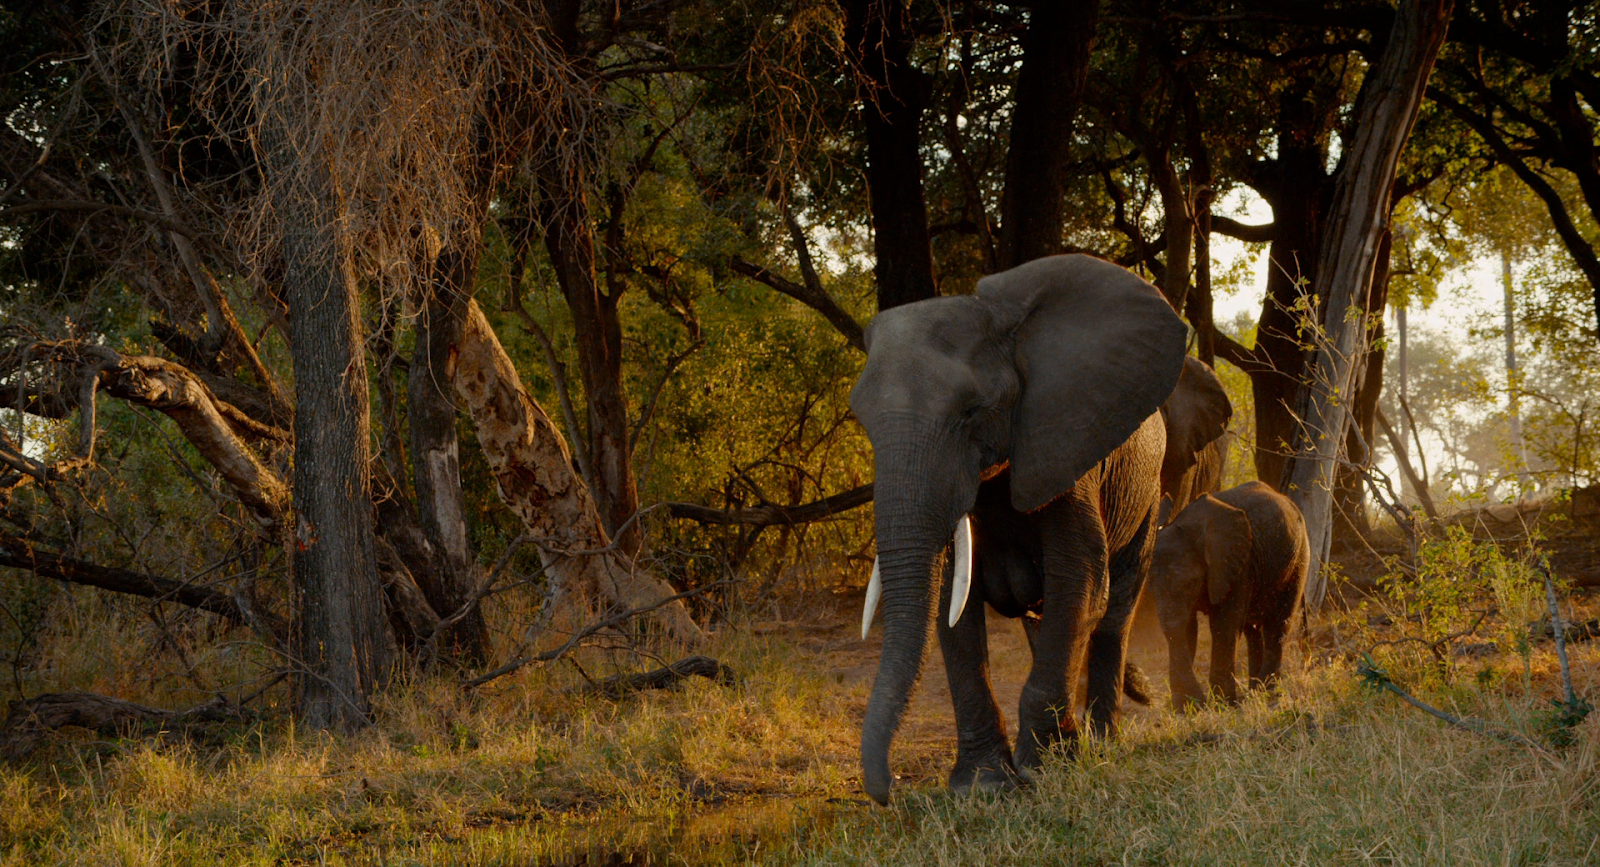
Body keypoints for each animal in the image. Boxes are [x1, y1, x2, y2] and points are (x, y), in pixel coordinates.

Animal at [857, 252, 1184, 809]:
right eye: (863, 423)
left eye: (972, 412)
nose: (893, 787)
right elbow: (952, 610)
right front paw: (982, 786)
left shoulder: (1065, 444)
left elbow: (1081, 583)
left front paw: (1045, 770)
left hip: (1148, 496)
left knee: (1113, 613)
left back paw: (1102, 742)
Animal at [1152, 479, 1312, 710]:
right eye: (1150, 585)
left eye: (1191, 584)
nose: (1197, 704)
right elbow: (1187, 628)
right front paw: (1189, 709)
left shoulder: (1238, 565)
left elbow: (1224, 625)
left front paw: (1223, 705)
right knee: (1252, 630)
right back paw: (1255, 692)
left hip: (1298, 559)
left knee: (1278, 625)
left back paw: (1268, 694)